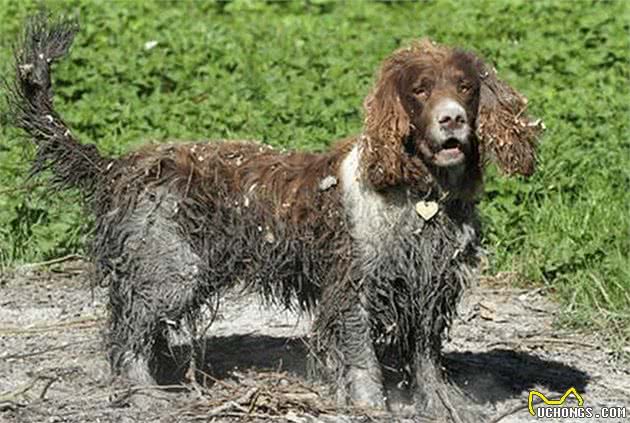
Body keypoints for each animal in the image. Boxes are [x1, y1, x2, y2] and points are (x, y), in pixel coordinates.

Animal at [4, 14, 540, 420]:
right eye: (421, 90)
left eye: (465, 87)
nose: (453, 118)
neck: (419, 195)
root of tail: (118, 165)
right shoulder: (354, 288)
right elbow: (363, 360)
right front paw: (370, 406)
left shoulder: (430, 287)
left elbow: (427, 360)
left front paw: (444, 405)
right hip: (169, 272)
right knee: (125, 335)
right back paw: (144, 394)